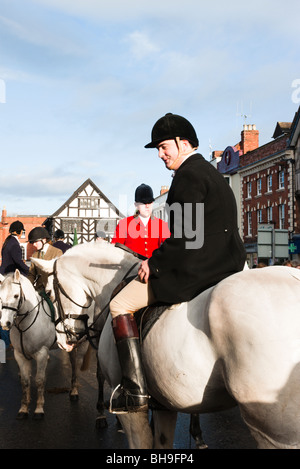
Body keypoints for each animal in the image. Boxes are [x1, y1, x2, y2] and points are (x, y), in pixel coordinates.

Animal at [0, 268, 90, 418]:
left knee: (77, 364)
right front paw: (24, 408)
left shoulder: (41, 354)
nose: (5, 323)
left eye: (16, 295)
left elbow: (39, 380)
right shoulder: (20, 355)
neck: (24, 324)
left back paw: (74, 392)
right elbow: (25, 381)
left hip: (83, 343)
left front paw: (39, 408)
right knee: (73, 363)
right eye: (0, 297)